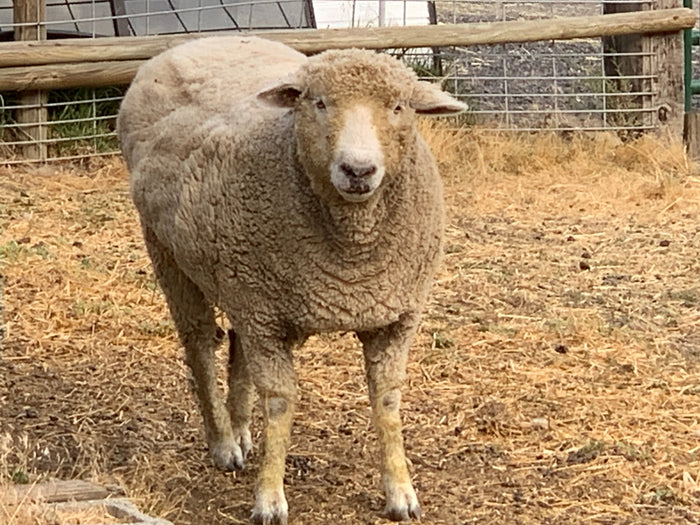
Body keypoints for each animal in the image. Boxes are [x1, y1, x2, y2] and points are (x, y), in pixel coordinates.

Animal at [118, 36, 466, 525]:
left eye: (399, 106)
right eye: (318, 103)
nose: (358, 171)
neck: (352, 253)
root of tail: (196, 42)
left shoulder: (394, 317)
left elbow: (387, 400)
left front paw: (401, 490)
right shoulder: (265, 314)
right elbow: (281, 403)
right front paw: (269, 497)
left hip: (244, 281)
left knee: (237, 348)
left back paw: (242, 432)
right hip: (172, 255)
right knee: (201, 345)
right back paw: (223, 442)